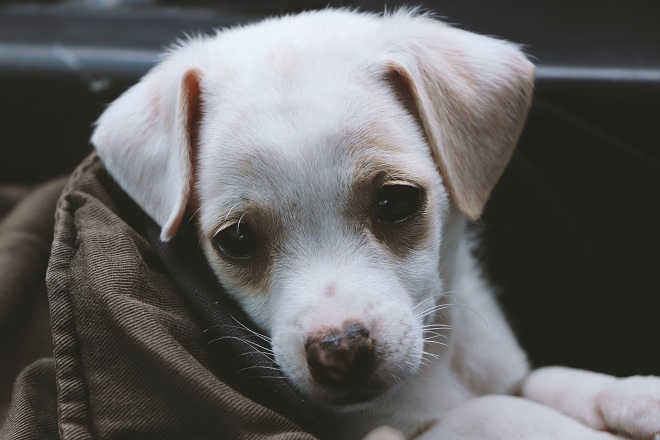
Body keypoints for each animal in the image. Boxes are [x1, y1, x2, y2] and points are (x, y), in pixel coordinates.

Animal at [93, 7, 660, 440]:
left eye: (395, 203)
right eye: (236, 239)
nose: (340, 352)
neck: (439, 375)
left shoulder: (504, 373)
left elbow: (540, 378)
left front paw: (634, 394)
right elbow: (485, 412)